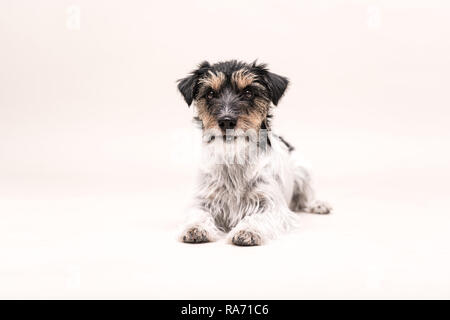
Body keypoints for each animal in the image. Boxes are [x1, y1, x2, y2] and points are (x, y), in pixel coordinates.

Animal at [177, 60, 330, 246]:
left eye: (248, 92)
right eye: (210, 93)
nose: (226, 121)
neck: (234, 156)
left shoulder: (271, 205)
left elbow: (257, 217)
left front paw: (247, 231)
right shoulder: (203, 200)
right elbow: (198, 213)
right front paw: (196, 228)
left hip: (303, 170)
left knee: (307, 196)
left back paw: (318, 204)